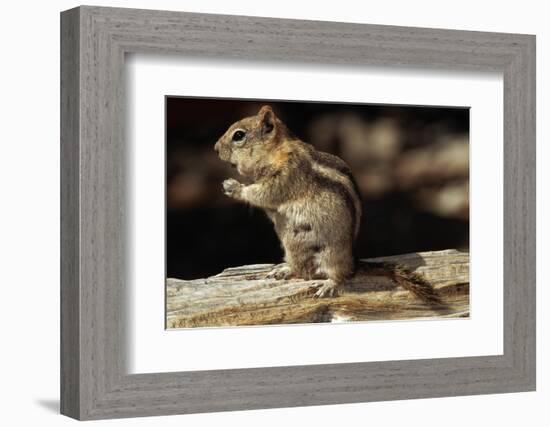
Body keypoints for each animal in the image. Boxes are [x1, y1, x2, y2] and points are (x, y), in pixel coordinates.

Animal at [213, 105, 442, 302]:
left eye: (238, 135)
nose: (215, 149)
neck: (276, 151)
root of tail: (353, 262)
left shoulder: (287, 174)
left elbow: (263, 193)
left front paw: (233, 186)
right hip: (292, 247)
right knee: (299, 269)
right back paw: (283, 270)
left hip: (332, 254)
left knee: (340, 275)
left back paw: (328, 284)